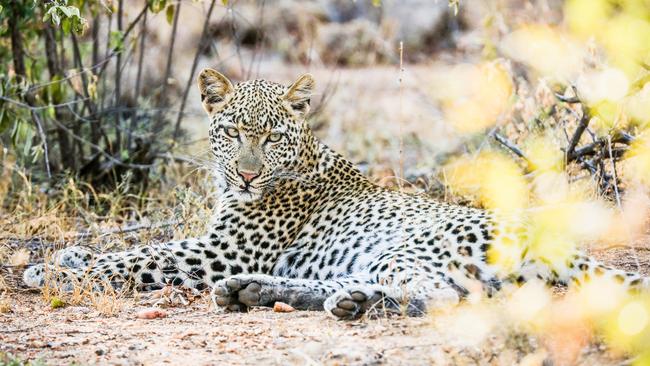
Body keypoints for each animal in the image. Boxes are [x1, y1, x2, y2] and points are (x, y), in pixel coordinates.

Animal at [21, 69, 648, 320]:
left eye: (271, 137)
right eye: (234, 133)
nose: (246, 175)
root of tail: (573, 252)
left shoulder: (220, 251)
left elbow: (140, 256)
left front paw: (51, 271)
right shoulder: (216, 246)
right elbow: (137, 247)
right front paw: (67, 255)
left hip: (415, 249)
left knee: (441, 298)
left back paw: (347, 304)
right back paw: (264, 293)